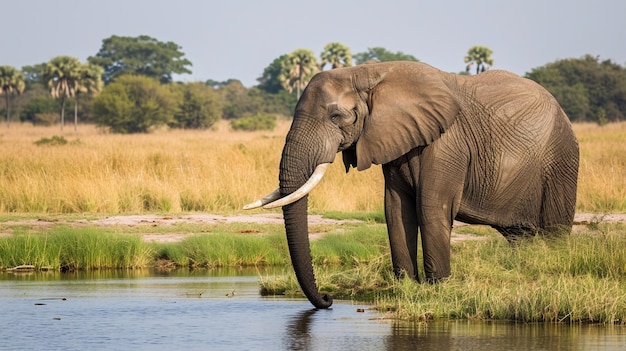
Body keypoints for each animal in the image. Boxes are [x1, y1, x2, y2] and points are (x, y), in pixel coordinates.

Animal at [241, 62, 576, 310]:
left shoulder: (446, 143)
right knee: (522, 236)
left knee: (554, 230)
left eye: (336, 116)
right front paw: (405, 286)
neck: (367, 74)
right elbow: (396, 210)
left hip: (561, 160)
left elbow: (431, 208)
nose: (327, 299)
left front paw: (438, 288)